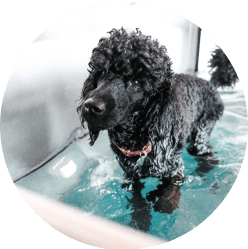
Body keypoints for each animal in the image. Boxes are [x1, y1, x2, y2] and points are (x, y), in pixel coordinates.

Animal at [77, 28, 238, 181]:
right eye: (101, 72)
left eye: (137, 82)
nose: (91, 106)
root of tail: (211, 83)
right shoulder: (130, 172)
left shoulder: (173, 169)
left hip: (203, 131)